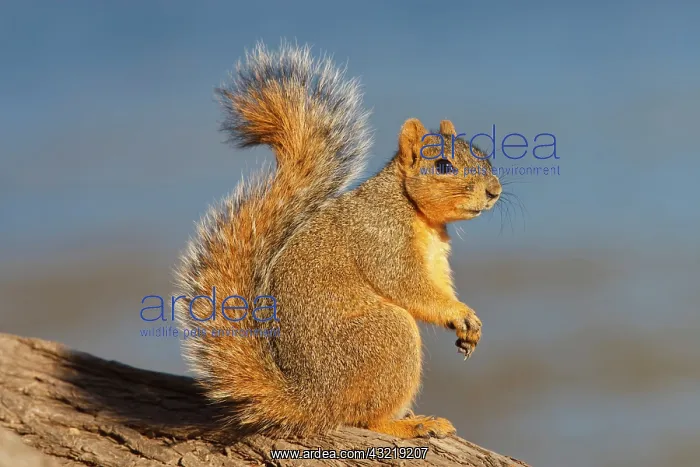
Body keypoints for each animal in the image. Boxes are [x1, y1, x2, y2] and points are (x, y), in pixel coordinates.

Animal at [174, 41, 502, 440]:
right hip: (388, 337)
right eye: (442, 166)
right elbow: (408, 285)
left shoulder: (435, 256)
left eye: (482, 154)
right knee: (365, 417)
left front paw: (468, 321)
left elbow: (438, 283)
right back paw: (410, 424)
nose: (494, 191)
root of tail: (312, 400)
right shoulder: (381, 238)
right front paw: (458, 313)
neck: (415, 212)